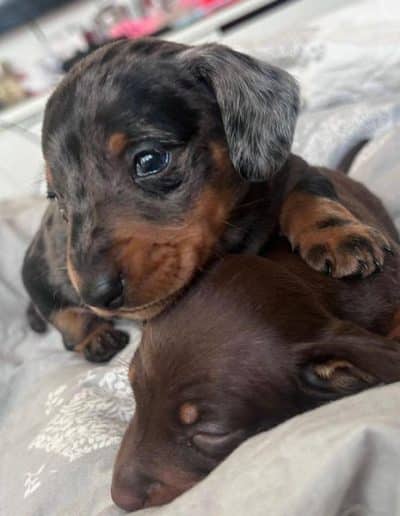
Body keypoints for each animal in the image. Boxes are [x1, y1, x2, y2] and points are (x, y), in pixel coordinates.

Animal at [24, 38, 394, 360]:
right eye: (57, 198)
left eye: (150, 160)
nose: (95, 294)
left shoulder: (294, 171)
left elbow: (309, 197)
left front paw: (339, 236)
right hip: (42, 275)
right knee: (60, 314)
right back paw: (94, 335)